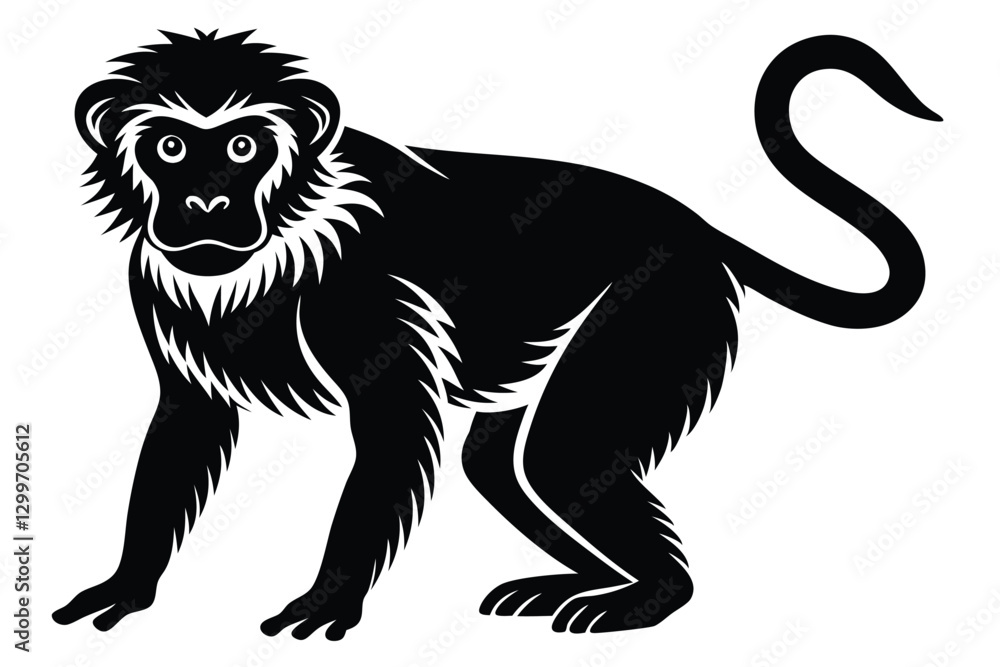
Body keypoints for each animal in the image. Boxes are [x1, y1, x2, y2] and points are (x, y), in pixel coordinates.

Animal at [52, 29, 939, 640]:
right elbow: (184, 431)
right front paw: (127, 584)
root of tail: (692, 223)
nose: (205, 205)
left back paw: (646, 597)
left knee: (567, 454)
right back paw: (575, 583)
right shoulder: (158, 300)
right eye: (170, 146)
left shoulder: (367, 298)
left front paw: (330, 598)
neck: (279, 240)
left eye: (242, 145)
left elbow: (389, 437)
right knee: (501, 466)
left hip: (656, 306)